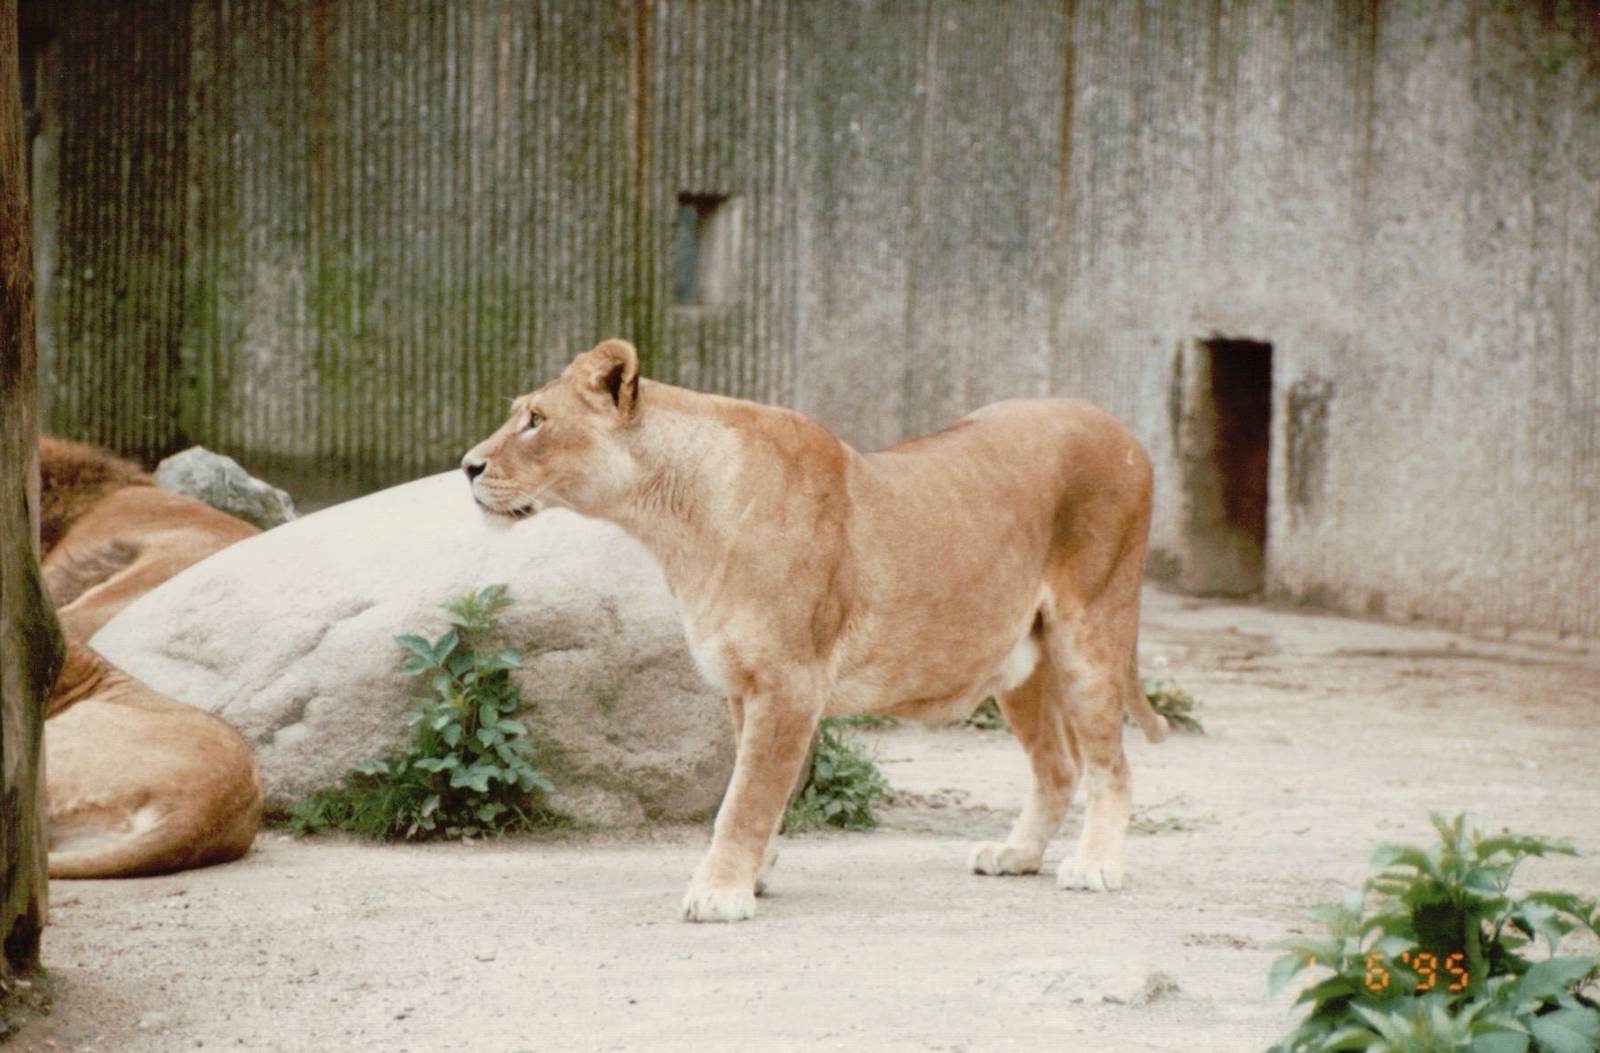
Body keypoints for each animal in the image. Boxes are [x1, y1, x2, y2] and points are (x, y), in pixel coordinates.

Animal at [463, 339, 1168, 922]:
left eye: (536, 420)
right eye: (519, 413)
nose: (468, 466)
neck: (673, 519)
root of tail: (1120, 427)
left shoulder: (789, 685)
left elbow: (745, 798)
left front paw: (719, 893)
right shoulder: (743, 686)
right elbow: (758, 790)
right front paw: (754, 874)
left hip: (1091, 630)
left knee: (1111, 763)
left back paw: (1095, 865)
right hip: (1019, 663)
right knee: (1058, 767)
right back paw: (1017, 856)